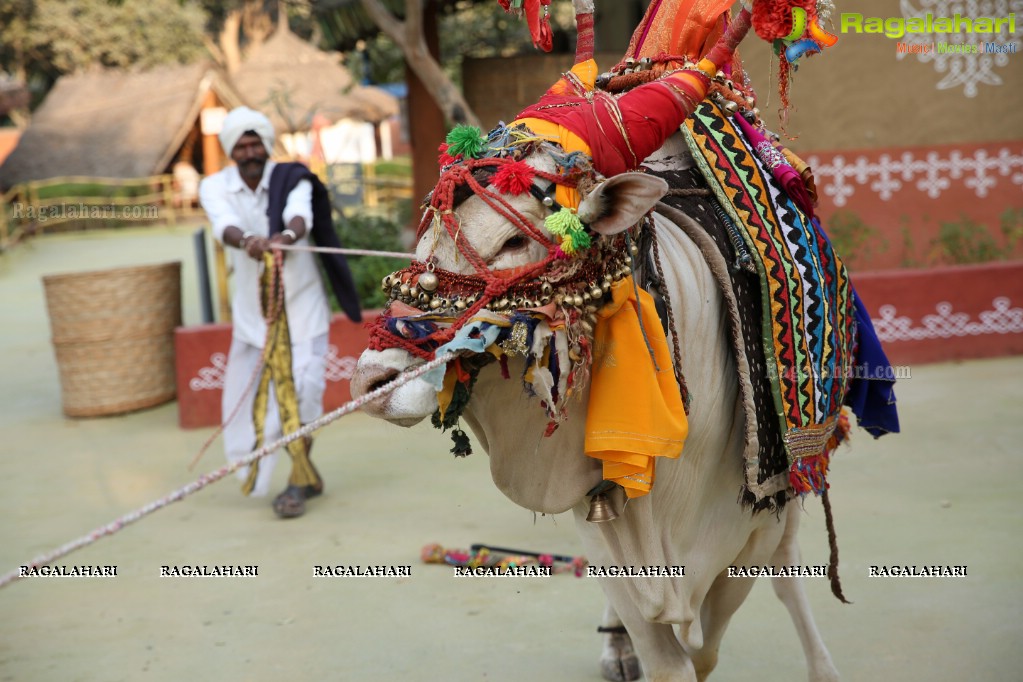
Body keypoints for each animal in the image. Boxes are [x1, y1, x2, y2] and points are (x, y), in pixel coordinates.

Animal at [349, 2, 896, 678]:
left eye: (515, 240)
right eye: (425, 233)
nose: (374, 380)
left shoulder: (748, 530)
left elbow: (707, 646)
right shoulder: (604, 531)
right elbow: (668, 656)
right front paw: (628, 643)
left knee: (789, 575)